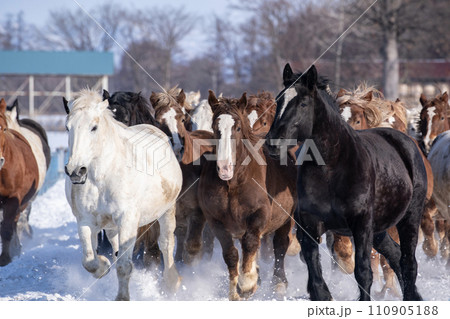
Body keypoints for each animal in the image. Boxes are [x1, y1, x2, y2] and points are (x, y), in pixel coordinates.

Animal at [63, 89, 183, 302]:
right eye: (67, 127)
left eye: (94, 127)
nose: (76, 171)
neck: (102, 175)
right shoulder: (85, 221)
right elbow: (89, 260)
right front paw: (103, 266)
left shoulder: (128, 220)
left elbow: (124, 265)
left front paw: (122, 298)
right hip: (111, 224)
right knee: (114, 244)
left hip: (167, 211)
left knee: (166, 243)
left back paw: (171, 283)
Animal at [199, 91, 298, 302]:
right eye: (214, 127)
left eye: (237, 127)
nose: (224, 168)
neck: (233, 184)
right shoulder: (216, 221)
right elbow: (231, 254)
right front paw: (234, 292)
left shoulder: (259, 214)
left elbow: (251, 243)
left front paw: (247, 284)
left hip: (286, 219)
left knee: (280, 246)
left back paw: (278, 284)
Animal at [266, 63, 428, 302]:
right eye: (278, 101)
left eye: (303, 103)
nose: (272, 144)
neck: (332, 169)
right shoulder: (310, 225)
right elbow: (315, 278)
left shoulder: (361, 226)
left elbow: (363, 273)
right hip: (379, 230)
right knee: (396, 255)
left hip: (409, 218)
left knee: (408, 262)